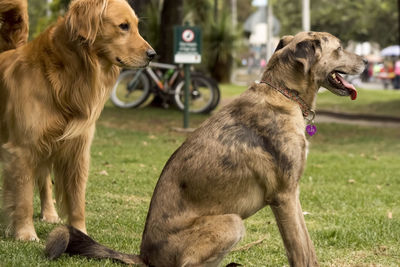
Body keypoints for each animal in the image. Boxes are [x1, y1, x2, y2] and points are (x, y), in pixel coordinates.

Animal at [46, 31, 366, 267]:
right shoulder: (285, 196)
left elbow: (306, 247)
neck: (283, 94)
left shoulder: (291, 196)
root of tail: (145, 257)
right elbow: (301, 251)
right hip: (231, 222)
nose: (365, 61)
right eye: (340, 48)